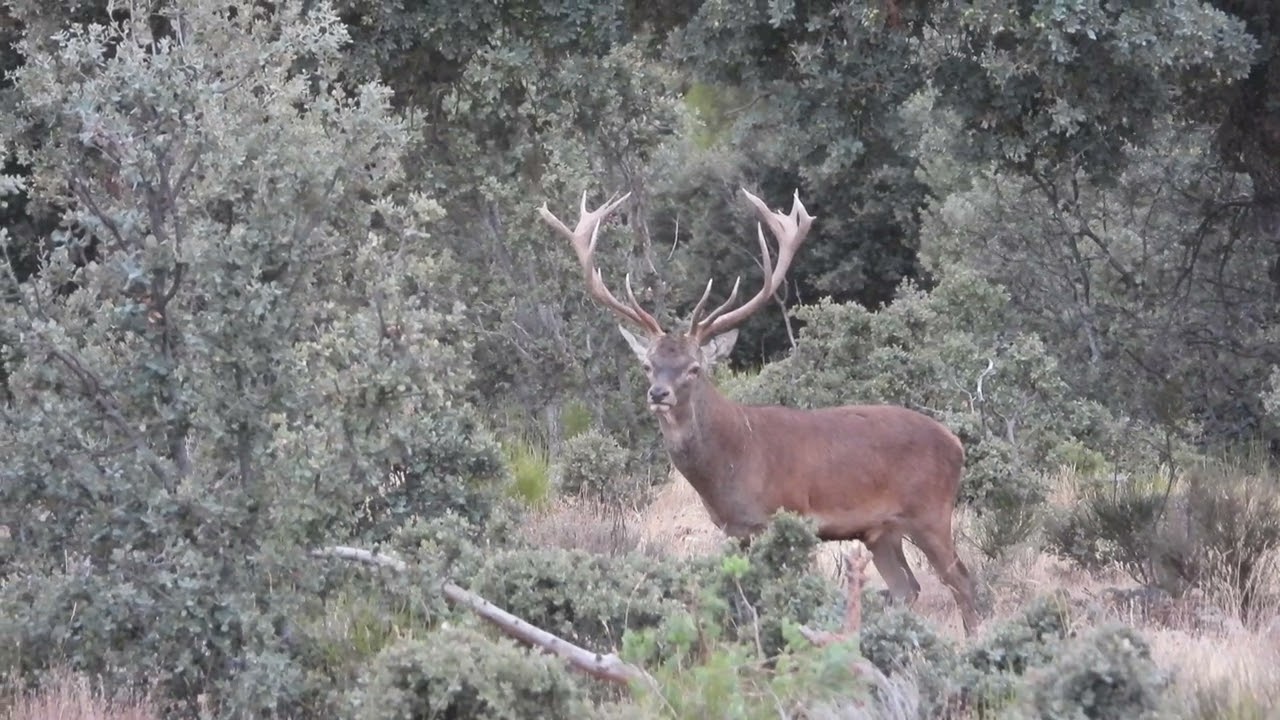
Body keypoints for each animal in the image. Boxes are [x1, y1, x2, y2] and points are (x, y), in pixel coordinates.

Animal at [538, 188, 981, 635]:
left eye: (694, 368)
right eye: (648, 364)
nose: (658, 393)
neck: (734, 460)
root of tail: (956, 444)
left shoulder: (786, 516)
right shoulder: (734, 529)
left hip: (931, 511)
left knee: (962, 581)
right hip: (881, 530)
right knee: (908, 587)